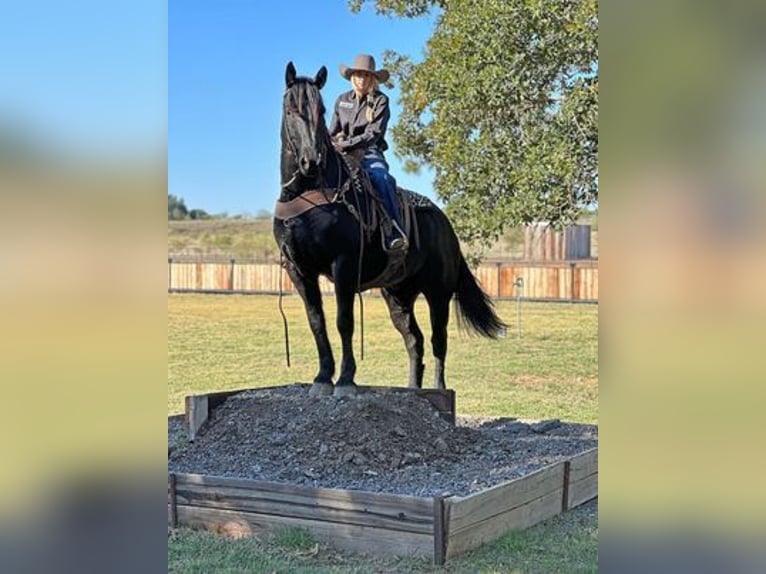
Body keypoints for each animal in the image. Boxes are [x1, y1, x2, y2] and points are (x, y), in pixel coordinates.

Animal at [272, 60, 508, 398]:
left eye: (320, 109)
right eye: (291, 109)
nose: (310, 161)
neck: (310, 191)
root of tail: (445, 224)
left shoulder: (344, 265)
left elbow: (344, 321)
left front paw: (346, 380)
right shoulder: (299, 269)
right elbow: (317, 321)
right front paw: (323, 377)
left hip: (438, 292)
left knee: (438, 340)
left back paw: (439, 390)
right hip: (398, 295)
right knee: (414, 340)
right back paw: (412, 389)